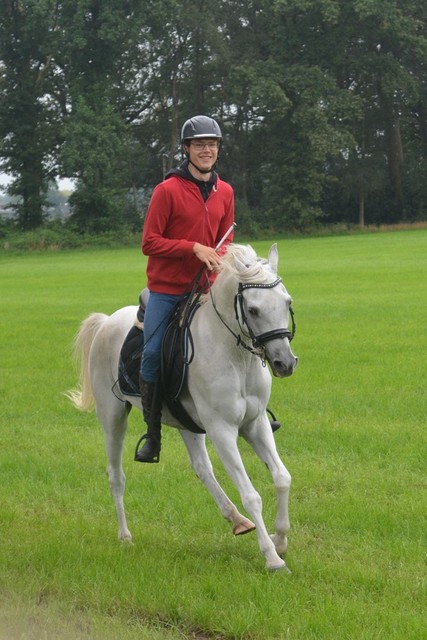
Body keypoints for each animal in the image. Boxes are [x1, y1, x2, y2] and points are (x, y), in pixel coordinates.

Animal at [68, 244, 300, 568]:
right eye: (253, 310)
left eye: (287, 301)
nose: (284, 362)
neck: (235, 357)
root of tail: (106, 322)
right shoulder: (222, 430)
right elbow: (251, 494)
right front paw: (272, 557)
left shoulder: (256, 425)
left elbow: (282, 478)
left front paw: (280, 540)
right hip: (113, 417)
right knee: (116, 476)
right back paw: (125, 536)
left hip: (187, 424)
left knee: (202, 468)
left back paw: (237, 520)